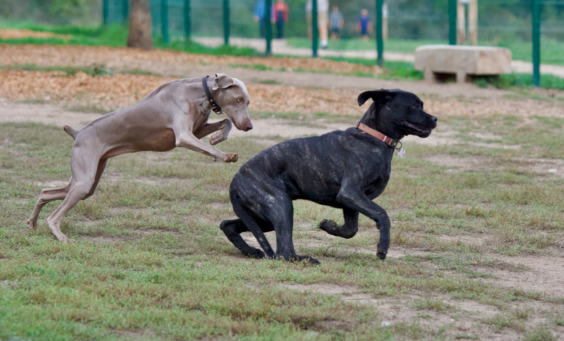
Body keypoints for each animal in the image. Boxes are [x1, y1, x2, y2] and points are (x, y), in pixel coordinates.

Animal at [28, 72, 253, 242]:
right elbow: (208, 143)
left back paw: (32, 223)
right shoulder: (183, 136)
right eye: (239, 99)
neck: (198, 94)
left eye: (248, 102)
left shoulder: (197, 131)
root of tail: (77, 133)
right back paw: (62, 237)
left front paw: (217, 137)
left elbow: (225, 122)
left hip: (86, 181)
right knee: (54, 216)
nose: (249, 126)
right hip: (83, 179)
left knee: (46, 192)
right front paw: (225, 155)